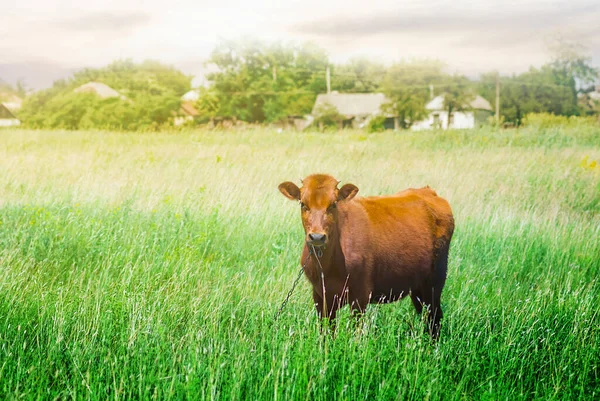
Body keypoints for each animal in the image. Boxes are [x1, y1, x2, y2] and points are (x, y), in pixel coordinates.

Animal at [278, 173, 454, 338]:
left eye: (333, 204)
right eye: (303, 204)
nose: (317, 237)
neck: (328, 266)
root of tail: (428, 191)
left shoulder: (360, 295)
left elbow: (355, 332)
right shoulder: (320, 296)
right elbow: (327, 332)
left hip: (434, 282)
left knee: (435, 318)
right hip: (417, 287)